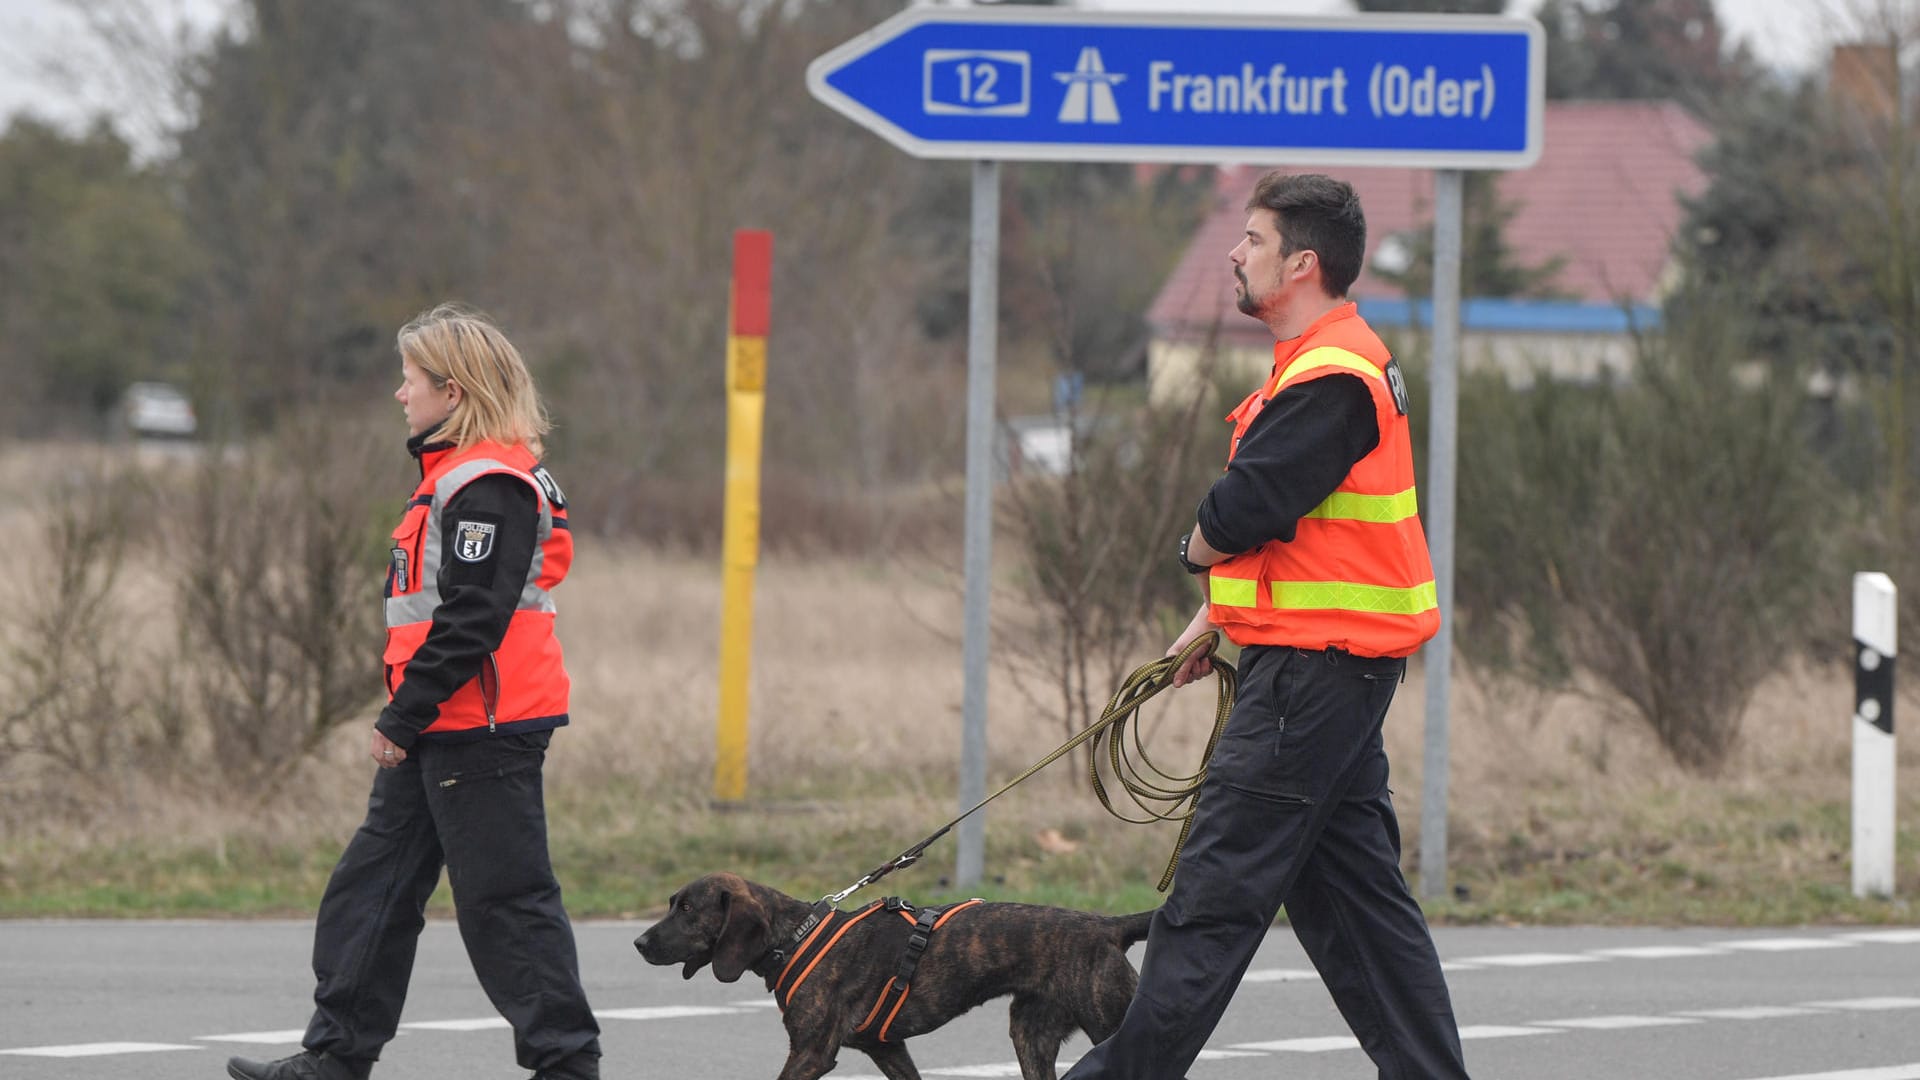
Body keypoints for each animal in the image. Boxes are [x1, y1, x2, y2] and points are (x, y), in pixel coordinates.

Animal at [637, 868, 1152, 1068]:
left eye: (688, 909)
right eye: (672, 903)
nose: (639, 942)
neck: (795, 937)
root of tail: (1107, 925)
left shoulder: (811, 1054)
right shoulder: (888, 1050)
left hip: (1110, 1022)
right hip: (1031, 1037)